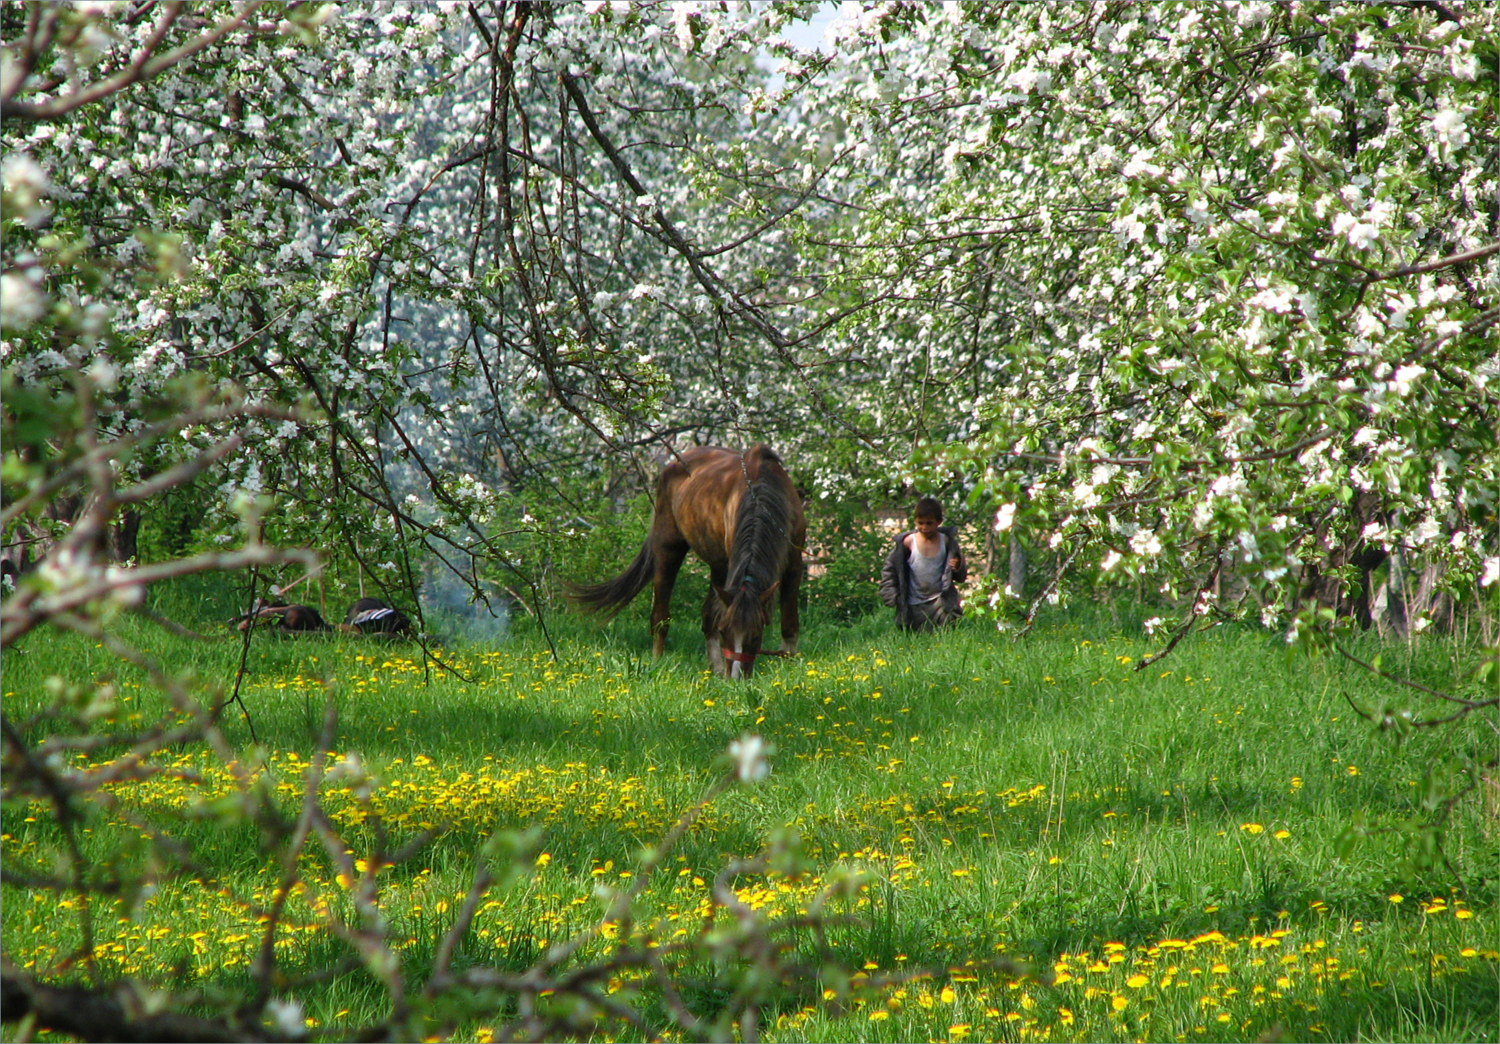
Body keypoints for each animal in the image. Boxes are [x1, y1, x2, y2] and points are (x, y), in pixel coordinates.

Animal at [570, 441, 810, 678]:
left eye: (756, 633)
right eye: (724, 632)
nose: (734, 678)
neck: (762, 493)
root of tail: (676, 462)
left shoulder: (793, 564)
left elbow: (789, 625)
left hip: (719, 565)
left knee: (708, 614)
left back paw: (715, 668)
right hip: (669, 548)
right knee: (661, 616)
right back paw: (659, 662)